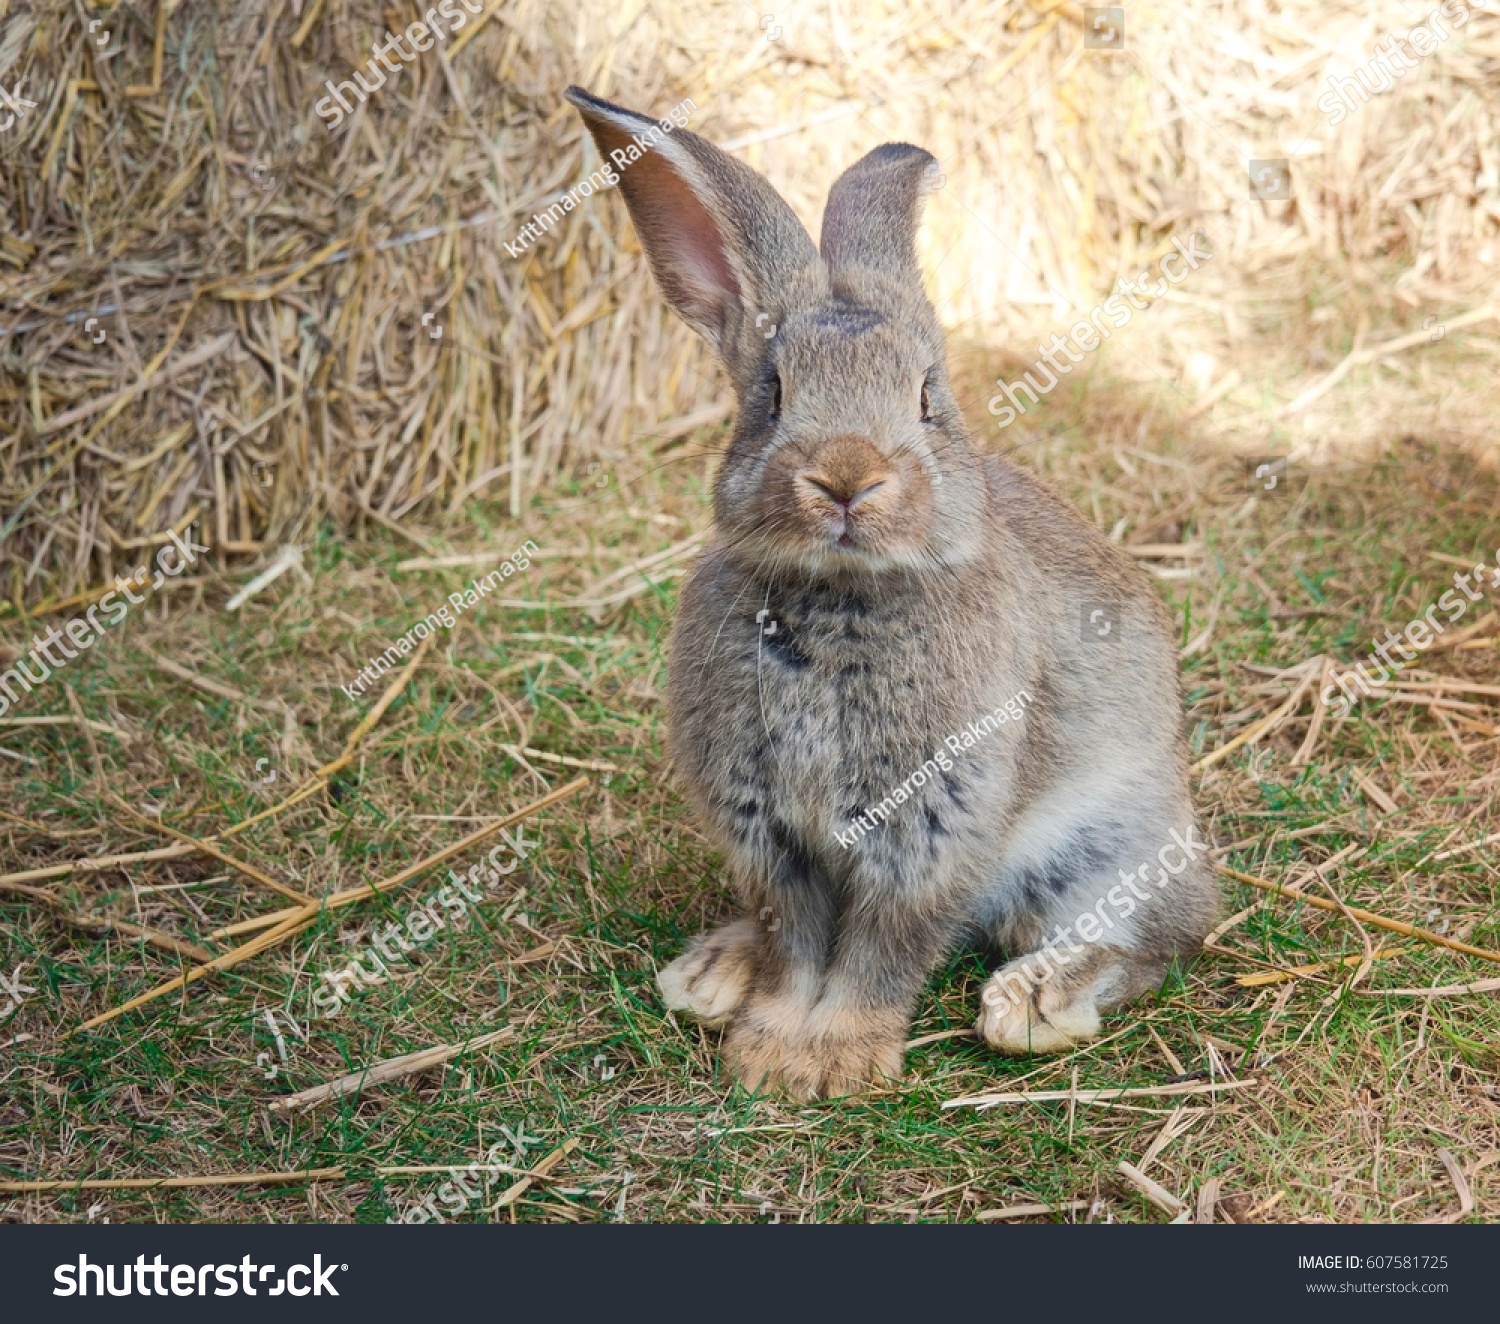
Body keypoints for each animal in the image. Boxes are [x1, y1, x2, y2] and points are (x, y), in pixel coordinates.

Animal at [564, 82, 1218, 1097]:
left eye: (926, 396)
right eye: (772, 395)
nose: (846, 477)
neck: (843, 595)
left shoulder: (931, 826)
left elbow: (884, 947)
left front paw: (834, 1058)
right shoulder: (768, 834)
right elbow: (796, 943)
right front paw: (772, 1049)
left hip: (1107, 846)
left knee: (1156, 933)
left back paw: (1035, 1002)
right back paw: (710, 975)